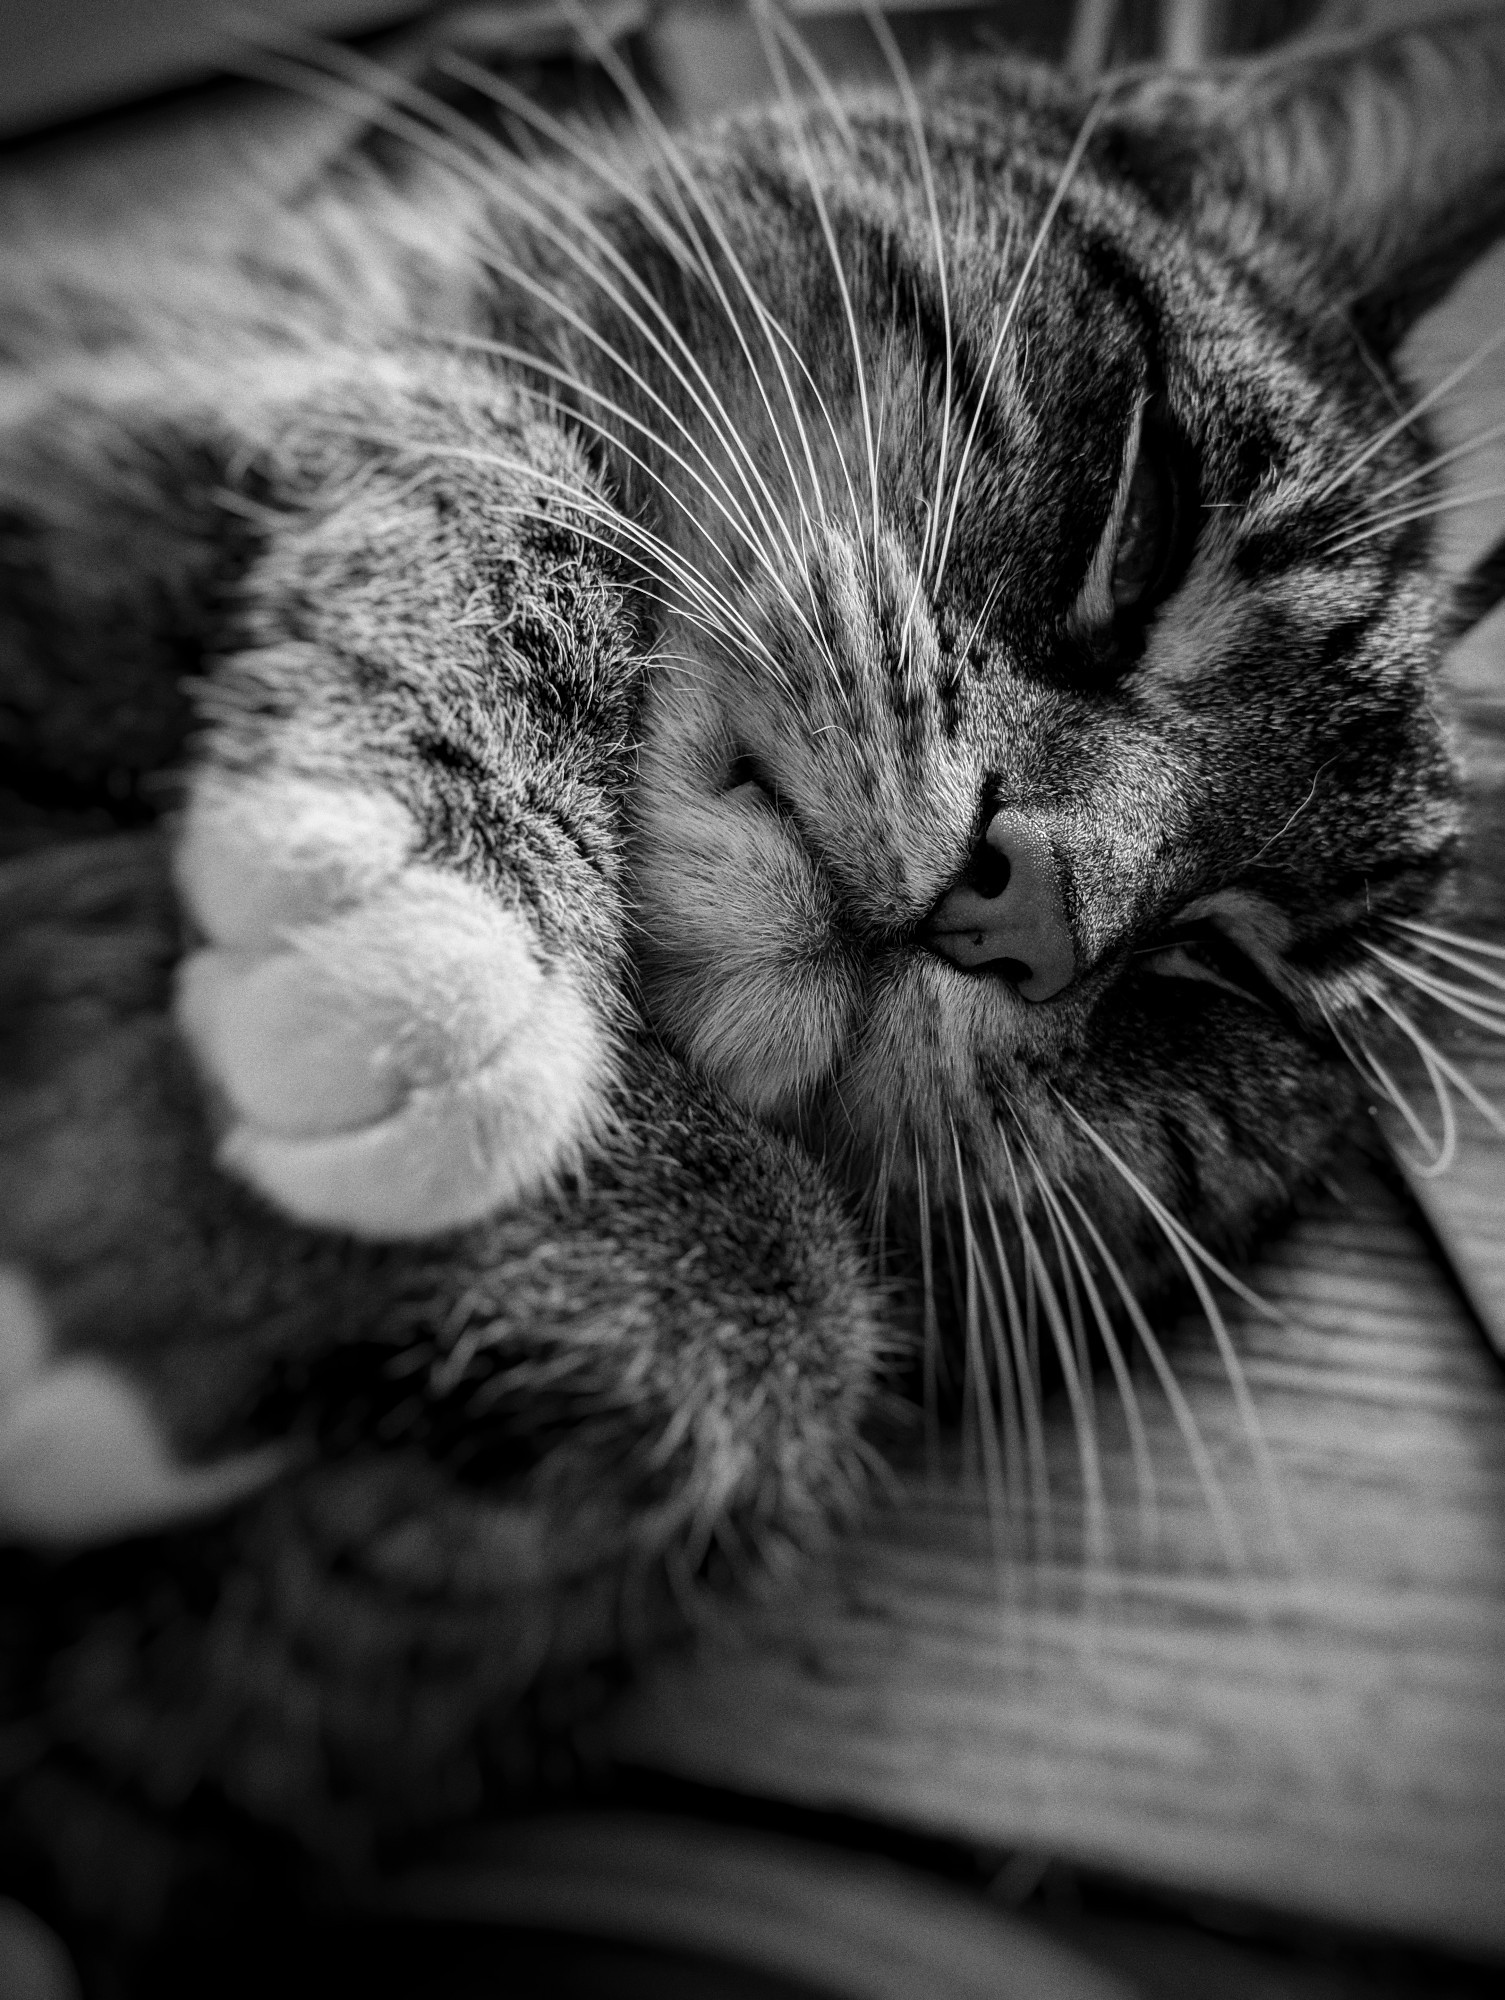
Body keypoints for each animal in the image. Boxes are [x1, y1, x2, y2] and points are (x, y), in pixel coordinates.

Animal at [2, 0, 1505, 1952]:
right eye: (1147, 504)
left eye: (1225, 969)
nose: (1033, 904)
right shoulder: (132, 356)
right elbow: (494, 439)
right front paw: (434, 926)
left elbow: (805, 1312)